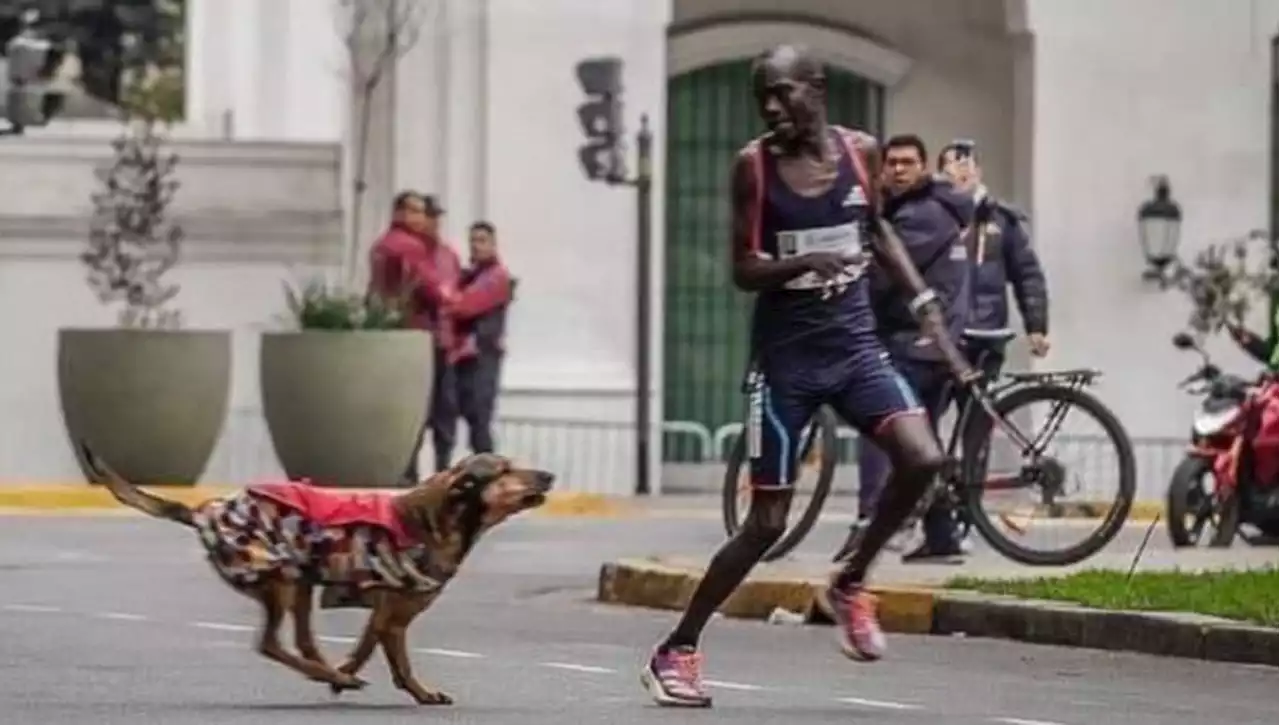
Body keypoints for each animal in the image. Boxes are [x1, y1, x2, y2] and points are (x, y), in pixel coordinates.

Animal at [83, 445, 555, 707]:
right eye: (505, 470)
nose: (550, 474)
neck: (441, 519)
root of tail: (206, 512)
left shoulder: (384, 614)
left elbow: (367, 645)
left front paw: (350, 671)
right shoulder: (396, 616)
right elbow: (398, 662)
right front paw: (413, 691)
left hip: (301, 582)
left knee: (303, 641)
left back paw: (328, 673)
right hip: (281, 578)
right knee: (271, 644)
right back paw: (329, 674)